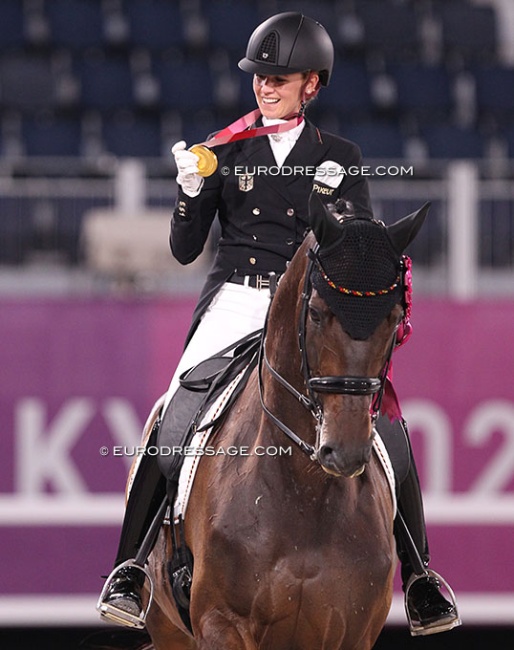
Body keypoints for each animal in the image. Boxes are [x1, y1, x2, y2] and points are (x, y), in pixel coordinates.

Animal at [138, 197, 426, 648]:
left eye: (396, 319)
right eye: (316, 313)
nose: (344, 450)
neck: (304, 490)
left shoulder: (353, 632)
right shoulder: (222, 624)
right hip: (169, 629)